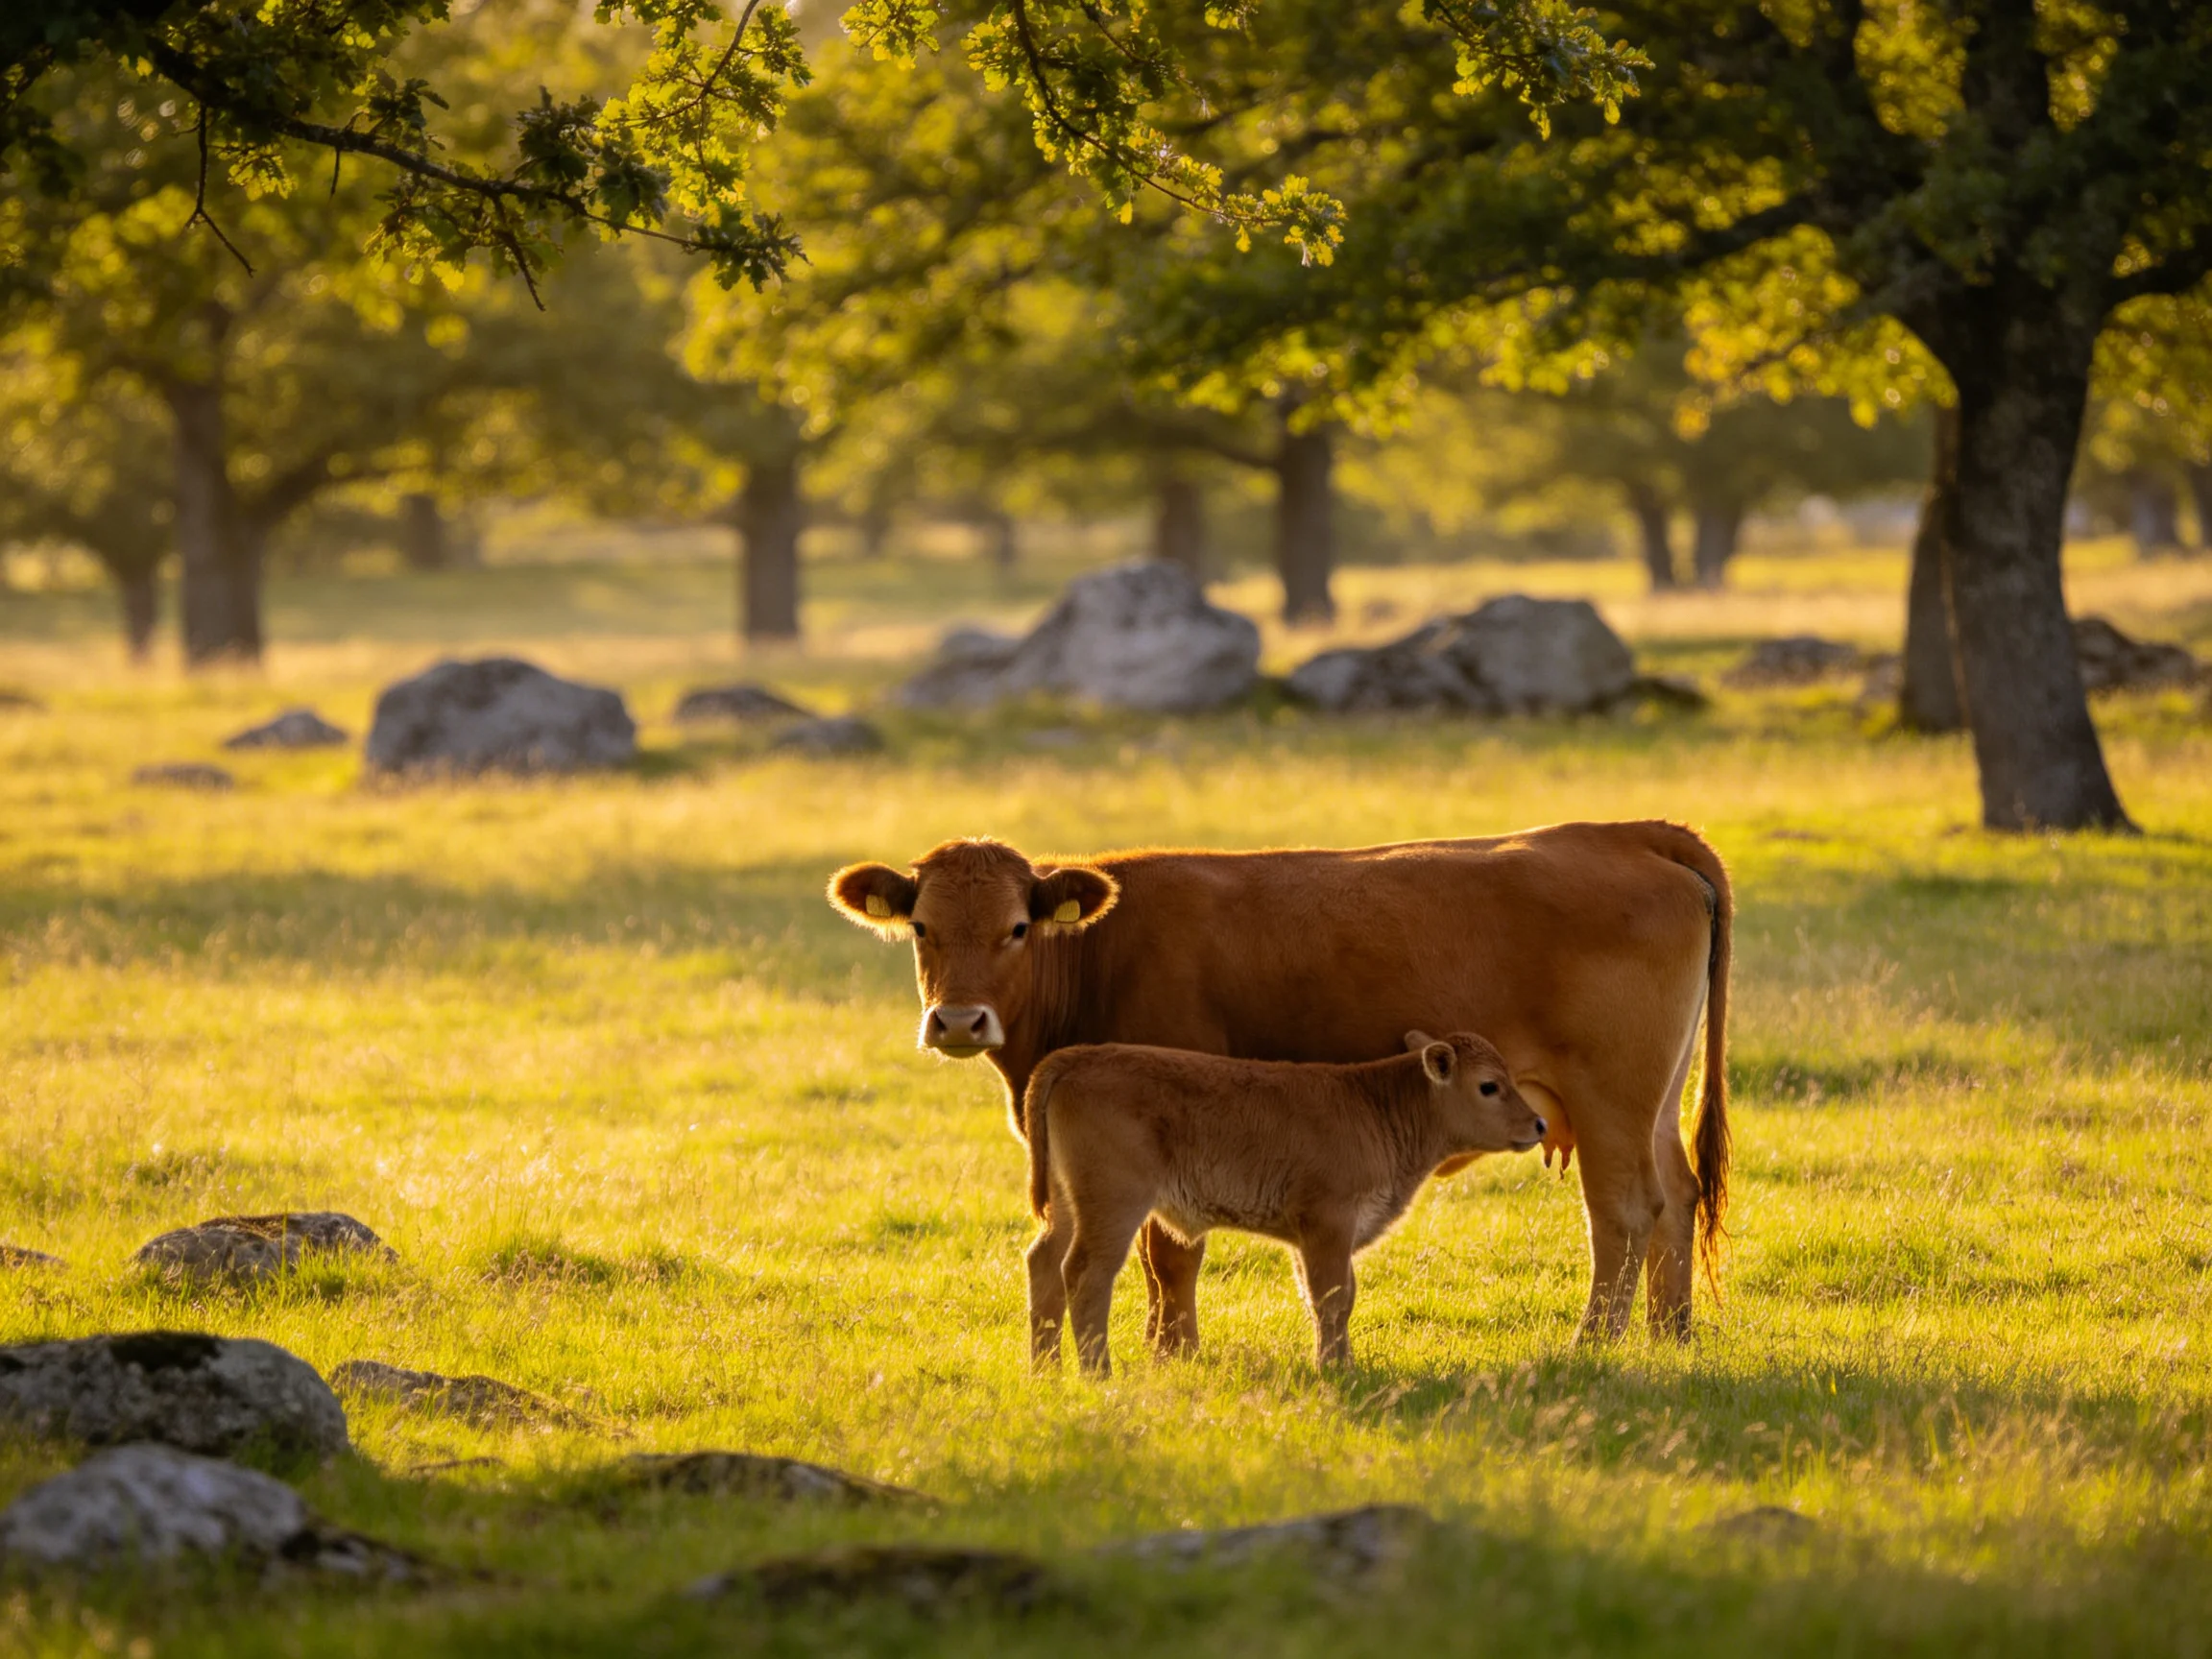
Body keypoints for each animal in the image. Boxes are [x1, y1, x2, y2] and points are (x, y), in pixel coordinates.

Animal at [1024, 1032, 1549, 1375]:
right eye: (1489, 1086)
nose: (1539, 1124)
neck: (1374, 1107)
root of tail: (1077, 1057)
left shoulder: (1314, 1237)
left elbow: (1333, 1298)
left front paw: (1342, 1364)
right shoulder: (1328, 1227)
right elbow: (1332, 1299)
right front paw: (1334, 1370)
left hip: (1066, 1206)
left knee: (1044, 1261)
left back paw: (1045, 1369)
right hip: (1114, 1206)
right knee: (1087, 1274)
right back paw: (1098, 1374)